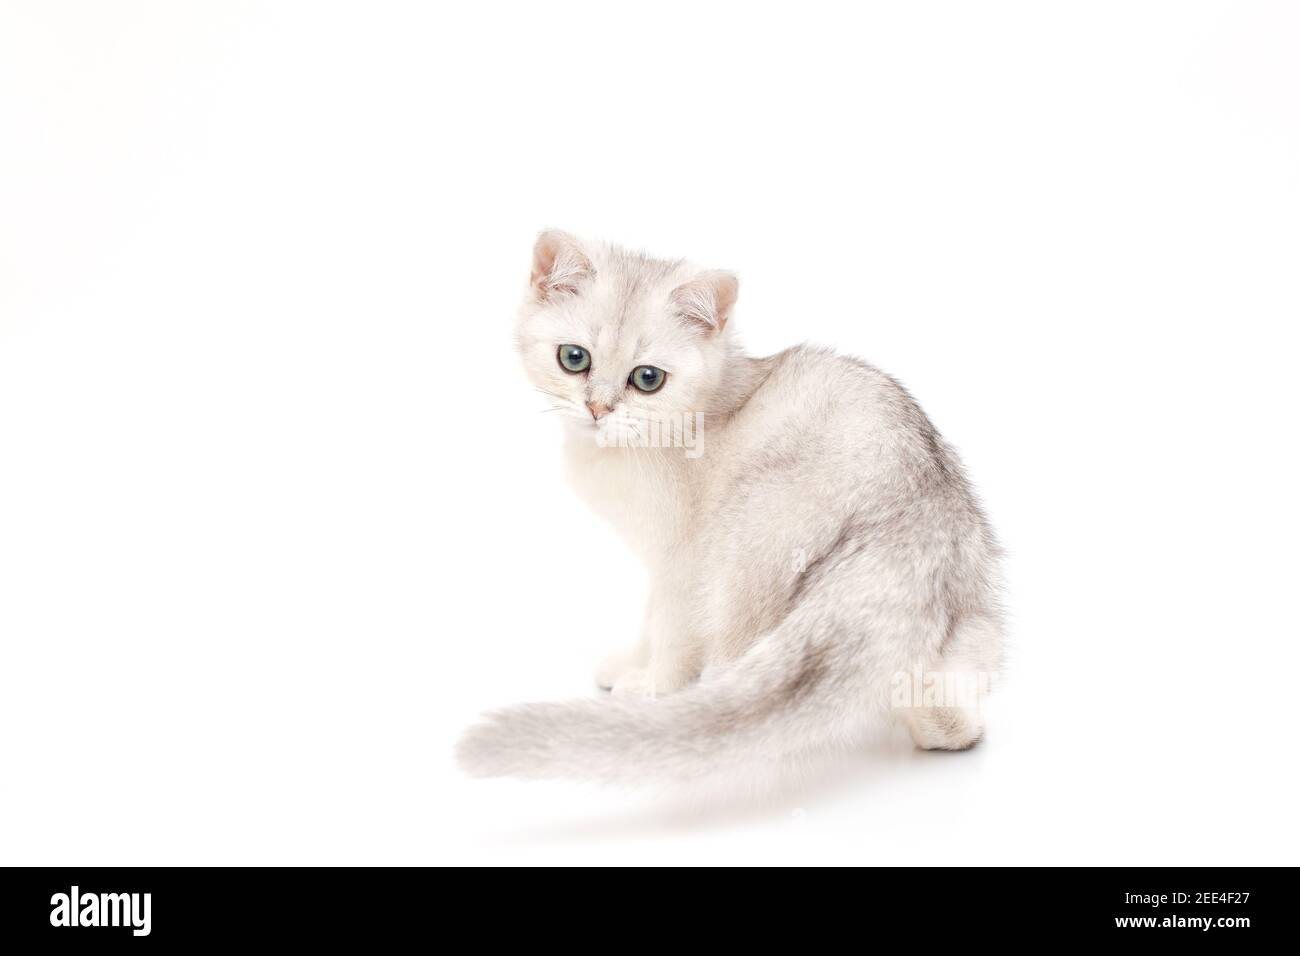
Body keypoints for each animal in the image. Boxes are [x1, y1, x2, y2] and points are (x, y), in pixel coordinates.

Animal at [457, 231, 1003, 785]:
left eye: (647, 378)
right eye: (574, 358)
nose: (598, 409)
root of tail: (917, 519)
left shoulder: (681, 561)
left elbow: (667, 629)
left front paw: (651, 683)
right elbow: (649, 621)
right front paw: (628, 664)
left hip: (746, 538)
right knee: (947, 717)